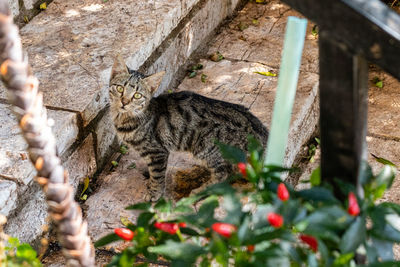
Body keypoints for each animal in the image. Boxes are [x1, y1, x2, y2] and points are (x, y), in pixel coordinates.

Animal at [108, 56, 268, 202]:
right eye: (120, 88)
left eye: (137, 95)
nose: (124, 102)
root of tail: (261, 131)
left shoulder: (157, 152)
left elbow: (157, 175)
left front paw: (154, 193)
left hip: (207, 148)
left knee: (223, 175)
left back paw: (199, 192)